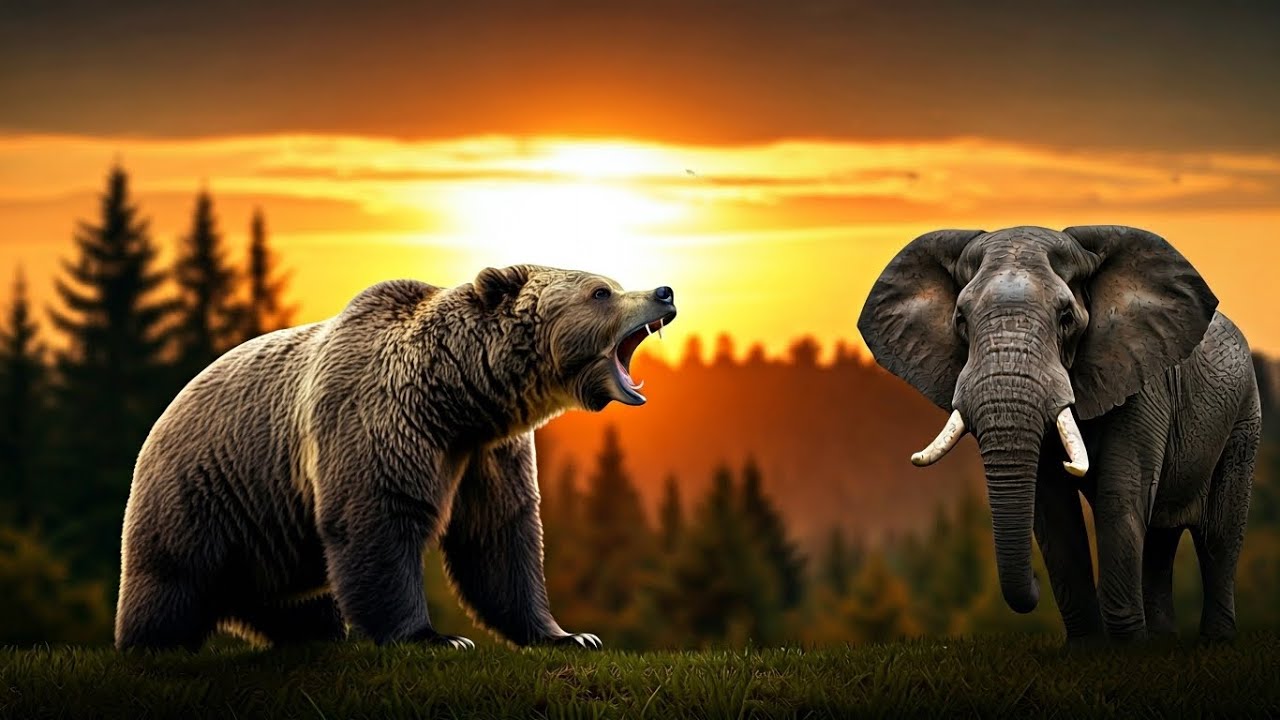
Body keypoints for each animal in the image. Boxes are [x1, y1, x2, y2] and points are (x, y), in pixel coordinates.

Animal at [857, 225, 1260, 642]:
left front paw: (1126, 649)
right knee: (1160, 542)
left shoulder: (1140, 380)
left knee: (1219, 536)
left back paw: (1214, 641)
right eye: (961, 320)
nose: (1033, 581)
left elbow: (1120, 498)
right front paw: (1089, 648)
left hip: (1244, 417)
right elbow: (1053, 508)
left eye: (1066, 317)